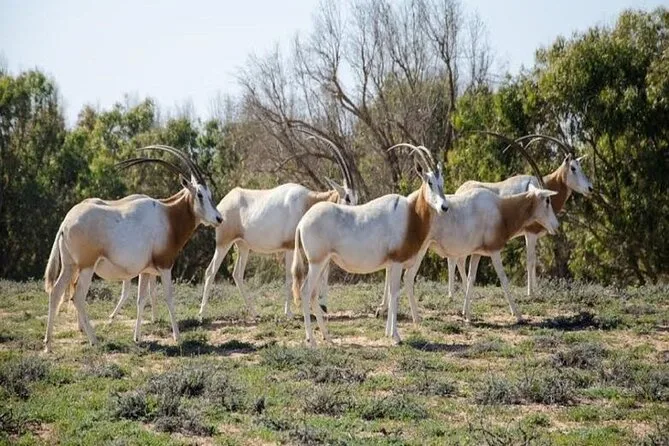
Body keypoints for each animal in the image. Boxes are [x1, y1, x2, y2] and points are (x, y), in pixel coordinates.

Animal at [43, 145, 222, 352]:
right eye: (200, 195)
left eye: (209, 195)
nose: (219, 218)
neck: (168, 216)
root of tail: (65, 223)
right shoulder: (165, 265)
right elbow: (169, 297)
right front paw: (177, 337)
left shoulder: (146, 270)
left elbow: (141, 300)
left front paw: (137, 337)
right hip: (86, 267)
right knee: (77, 297)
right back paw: (94, 340)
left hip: (70, 266)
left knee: (56, 293)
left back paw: (48, 345)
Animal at [198, 129, 358, 321]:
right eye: (347, 197)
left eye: (356, 198)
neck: (306, 202)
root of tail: (223, 203)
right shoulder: (289, 247)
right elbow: (290, 277)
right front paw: (288, 312)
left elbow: (323, 274)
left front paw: (323, 307)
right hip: (224, 243)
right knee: (210, 271)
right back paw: (201, 314)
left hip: (243, 246)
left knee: (237, 274)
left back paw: (254, 312)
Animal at [292, 144, 448, 346]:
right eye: (429, 182)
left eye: (441, 181)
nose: (444, 207)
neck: (410, 214)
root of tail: (302, 222)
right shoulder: (397, 263)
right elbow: (395, 294)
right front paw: (396, 337)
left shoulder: (391, 264)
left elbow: (391, 293)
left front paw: (389, 333)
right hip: (316, 263)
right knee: (305, 292)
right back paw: (312, 340)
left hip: (323, 263)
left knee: (312, 294)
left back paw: (328, 337)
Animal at [448, 132, 593, 298]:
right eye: (573, 168)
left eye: (580, 166)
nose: (590, 188)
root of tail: (459, 190)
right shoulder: (530, 233)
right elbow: (530, 261)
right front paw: (531, 293)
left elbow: (534, 261)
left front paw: (536, 290)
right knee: (455, 258)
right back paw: (453, 293)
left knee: (457, 258)